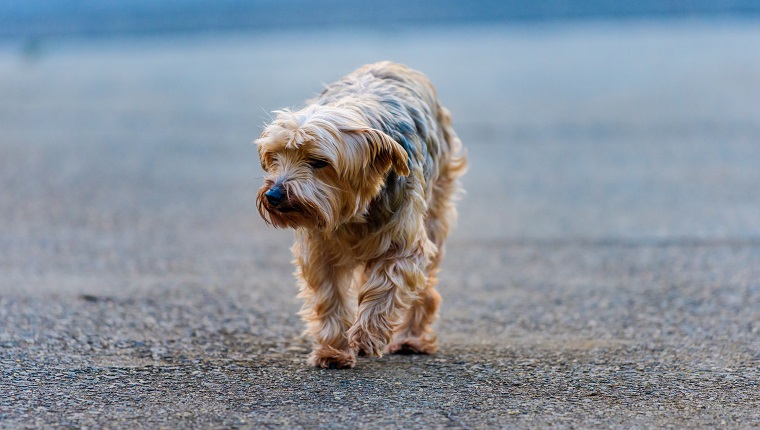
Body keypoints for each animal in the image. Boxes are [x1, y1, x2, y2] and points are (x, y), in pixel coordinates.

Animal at [255, 61, 466, 370]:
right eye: (274, 157)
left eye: (319, 162)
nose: (274, 195)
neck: (351, 212)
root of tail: (393, 64)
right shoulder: (319, 248)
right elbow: (329, 298)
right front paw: (333, 350)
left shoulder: (403, 244)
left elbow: (385, 287)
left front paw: (366, 336)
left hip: (436, 208)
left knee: (426, 282)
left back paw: (411, 338)